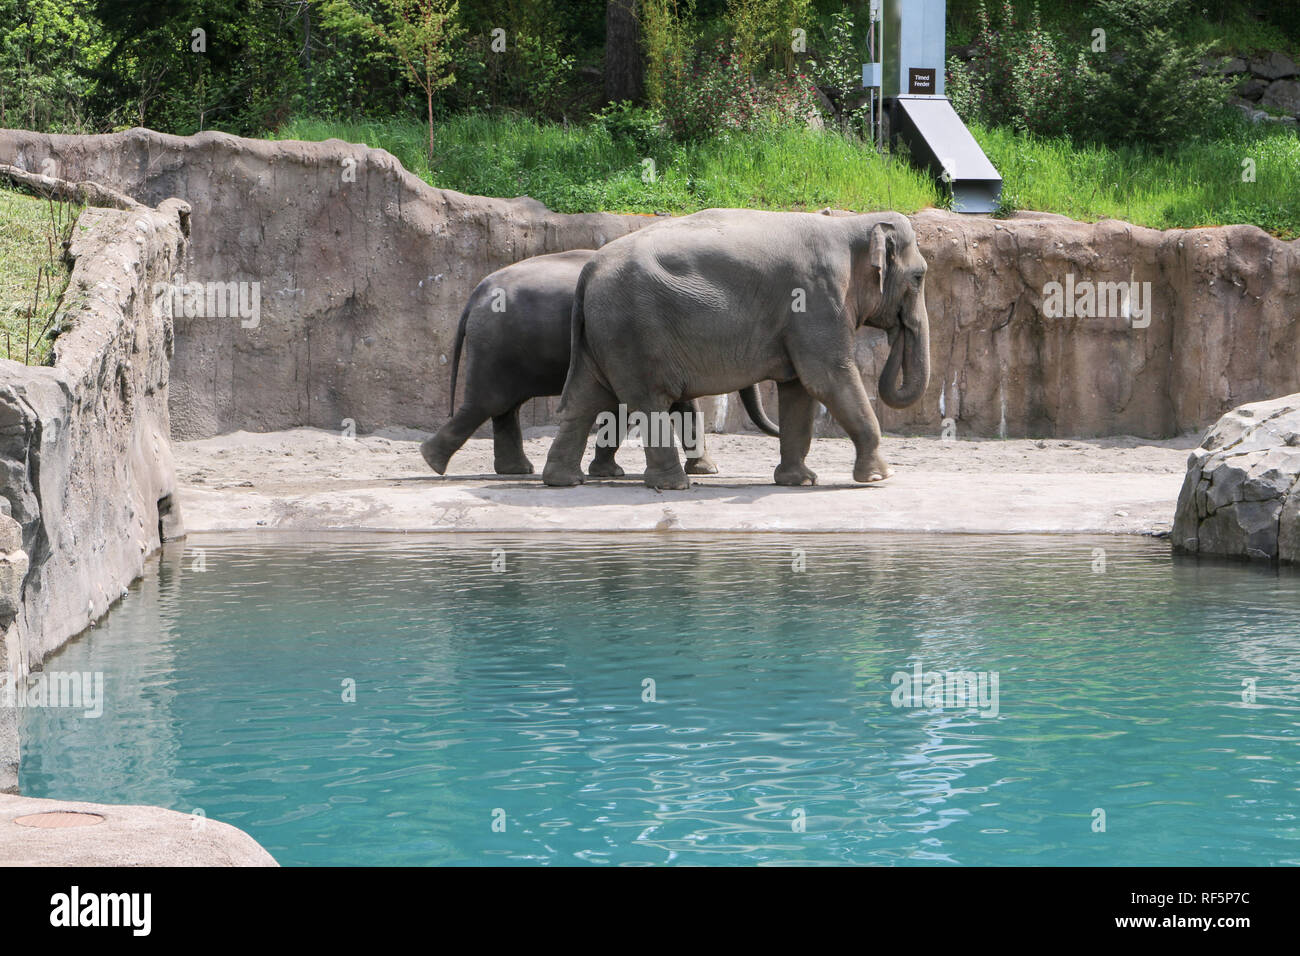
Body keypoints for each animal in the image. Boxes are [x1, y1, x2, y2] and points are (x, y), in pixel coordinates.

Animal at [421, 248, 774, 476]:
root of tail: (477, 292)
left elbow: (677, 406)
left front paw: (706, 470)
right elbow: (631, 407)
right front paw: (612, 472)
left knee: (505, 407)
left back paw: (516, 471)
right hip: (495, 347)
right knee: (488, 402)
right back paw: (432, 462)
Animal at [543, 212, 930, 489]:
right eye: (920, 277)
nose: (897, 328)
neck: (852, 224)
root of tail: (589, 270)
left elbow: (799, 390)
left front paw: (799, 481)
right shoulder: (817, 299)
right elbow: (827, 379)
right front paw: (881, 478)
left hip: (603, 334)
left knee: (584, 398)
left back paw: (564, 480)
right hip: (631, 332)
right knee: (647, 401)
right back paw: (673, 485)